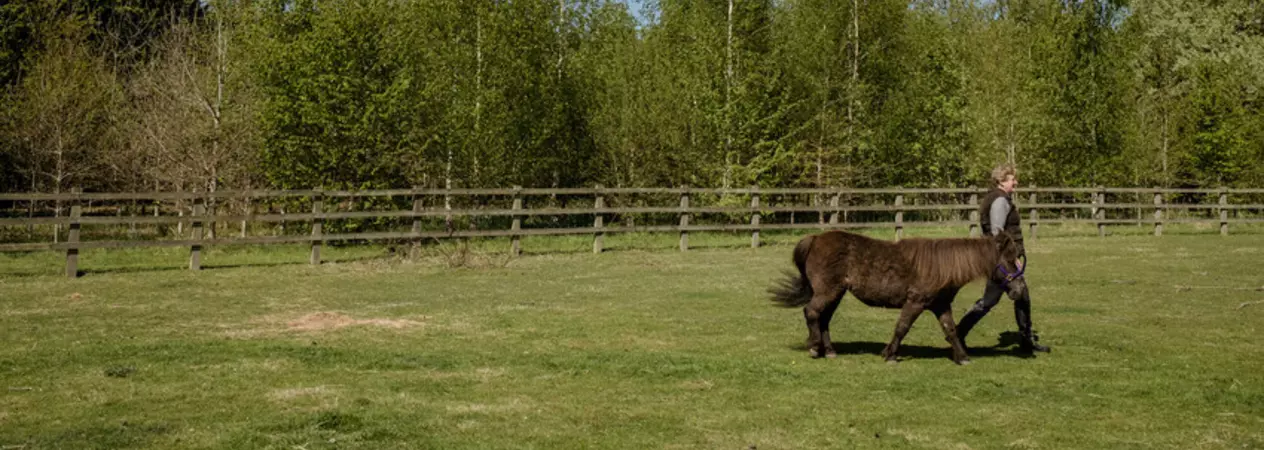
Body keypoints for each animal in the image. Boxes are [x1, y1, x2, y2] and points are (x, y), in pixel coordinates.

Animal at [769, 230, 1025, 365]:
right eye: (1010, 259)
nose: (1020, 289)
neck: (942, 267)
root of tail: (814, 238)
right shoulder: (915, 302)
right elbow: (902, 327)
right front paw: (890, 354)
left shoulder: (940, 305)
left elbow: (951, 330)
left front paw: (962, 357)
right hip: (828, 291)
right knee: (812, 312)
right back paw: (814, 348)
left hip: (836, 293)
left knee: (823, 319)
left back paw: (829, 350)